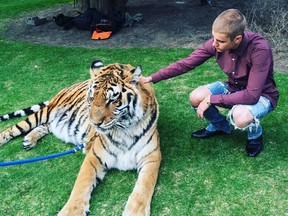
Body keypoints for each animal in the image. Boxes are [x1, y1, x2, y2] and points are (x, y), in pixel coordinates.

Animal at [0, 60, 161, 214]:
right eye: (91, 98)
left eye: (112, 100)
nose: (94, 123)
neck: (124, 129)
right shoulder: (94, 156)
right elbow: (82, 184)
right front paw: (71, 211)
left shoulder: (152, 156)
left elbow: (145, 185)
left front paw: (135, 211)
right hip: (45, 112)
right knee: (14, 128)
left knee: (45, 127)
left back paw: (29, 140)